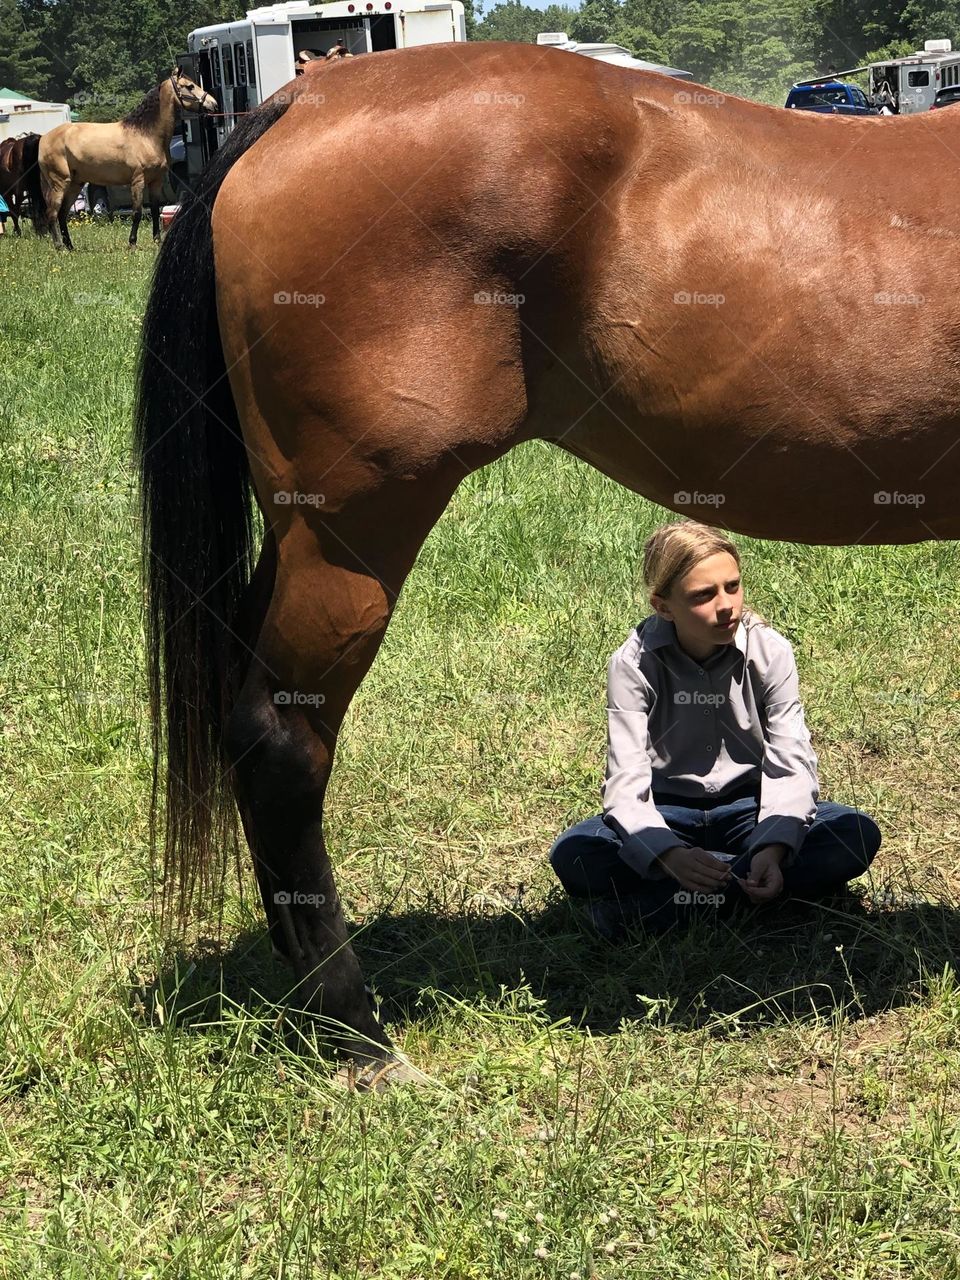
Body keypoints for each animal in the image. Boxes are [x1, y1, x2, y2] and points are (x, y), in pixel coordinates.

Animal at [25, 69, 217, 249]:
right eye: (190, 86)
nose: (213, 104)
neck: (145, 135)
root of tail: (43, 138)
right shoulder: (137, 181)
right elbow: (137, 212)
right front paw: (132, 243)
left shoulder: (156, 181)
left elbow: (156, 210)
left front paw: (157, 240)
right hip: (59, 183)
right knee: (52, 213)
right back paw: (60, 247)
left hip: (74, 184)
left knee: (62, 213)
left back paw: (70, 247)